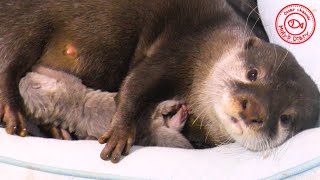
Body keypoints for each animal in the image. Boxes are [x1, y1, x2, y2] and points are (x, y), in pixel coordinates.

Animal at [0, 0, 318, 163]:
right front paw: (119, 133)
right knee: (9, 61)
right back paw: (13, 112)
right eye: (253, 73)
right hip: (26, 22)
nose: (252, 109)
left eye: (286, 118)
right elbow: (135, 84)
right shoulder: (178, 48)